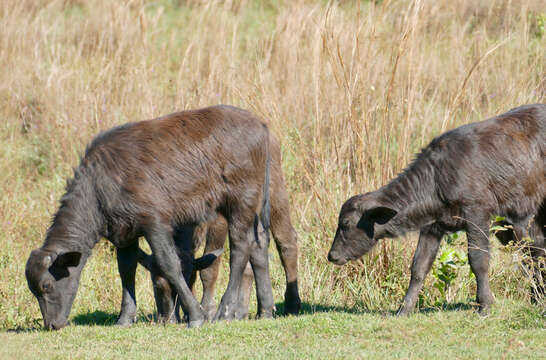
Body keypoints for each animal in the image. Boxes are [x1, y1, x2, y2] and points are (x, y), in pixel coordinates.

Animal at [24, 105, 276, 330]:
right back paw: (265, 310)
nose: (52, 324)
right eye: (33, 290)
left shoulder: (155, 224)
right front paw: (124, 318)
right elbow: (126, 271)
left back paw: (225, 310)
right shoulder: (124, 234)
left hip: (240, 201)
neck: (99, 187)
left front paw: (196, 316)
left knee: (240, 249)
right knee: (258, 243)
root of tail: (261, 125)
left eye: (46, 285)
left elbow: (169, 264)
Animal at [328, 104, 544, 316]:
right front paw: (404, 309)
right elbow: (419, 266)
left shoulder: (477, 215)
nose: (332, 255)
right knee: (537, 249)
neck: (437, 178)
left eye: (346, 224)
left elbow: (478, 259)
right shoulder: (433, 226)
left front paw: (484, 305)